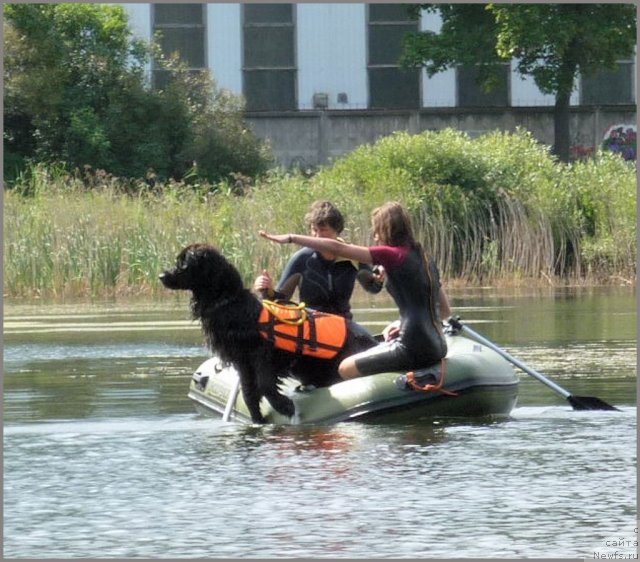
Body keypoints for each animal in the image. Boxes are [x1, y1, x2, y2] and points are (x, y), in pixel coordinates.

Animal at [160, 243, 378, 422]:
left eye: (184, 264)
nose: (161, 276)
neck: (230, 303)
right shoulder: (242, 361)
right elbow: (248, 392)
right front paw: (257, 418)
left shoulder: (262, 354)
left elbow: (264, 383)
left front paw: (284, 406)